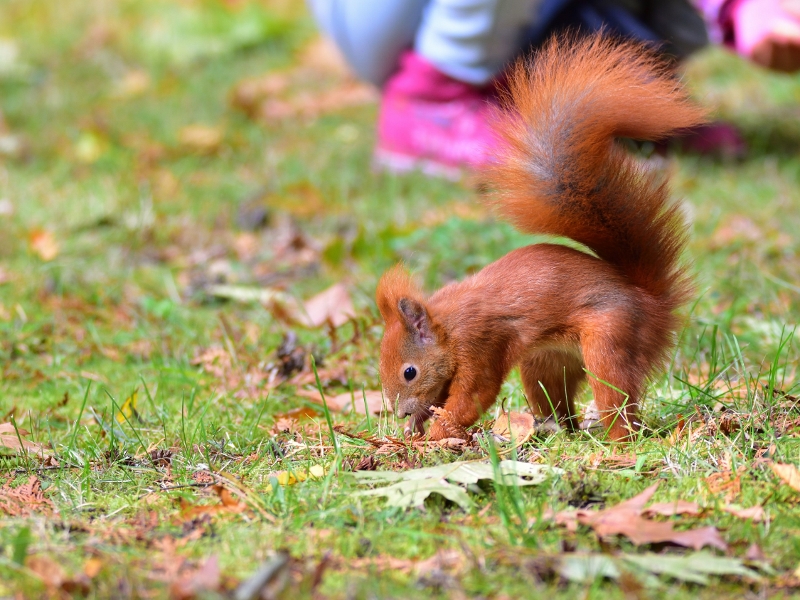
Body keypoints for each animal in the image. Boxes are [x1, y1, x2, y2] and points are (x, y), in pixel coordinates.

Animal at [376, 35, 708, 442]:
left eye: (410, 371)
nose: (398, 411)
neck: (448, 327)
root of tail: (651, 302)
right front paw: (416, 426)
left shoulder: (479, 343)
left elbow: (474, 394)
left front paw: (437, 436)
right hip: (546, 362)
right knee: (558, 399)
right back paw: (557, 430)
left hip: (610, 340)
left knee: (616, 395)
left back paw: (615, 440)